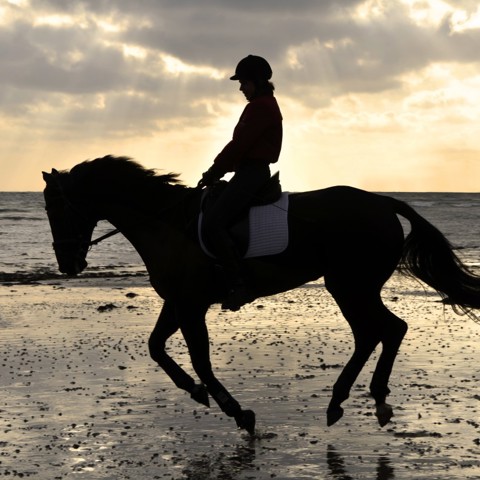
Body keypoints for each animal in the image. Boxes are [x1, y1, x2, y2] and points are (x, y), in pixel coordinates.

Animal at [40, 155, 480, 436]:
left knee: (386, 330)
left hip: (350, 285)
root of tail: (383, 202)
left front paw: (237, 412)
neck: (167, 223)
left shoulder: (192, 305)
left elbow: (200, 361)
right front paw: (196, 393)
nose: (67, 264)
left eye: (57, 209)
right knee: (377, 333)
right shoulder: (178, 301)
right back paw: (346, 401)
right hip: (353, 286)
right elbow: (156, 348)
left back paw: (368, 400)